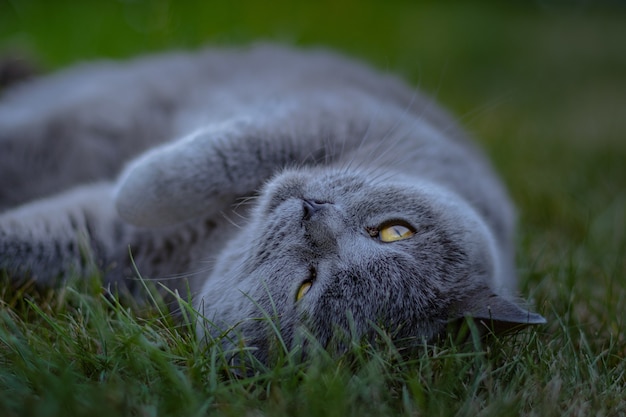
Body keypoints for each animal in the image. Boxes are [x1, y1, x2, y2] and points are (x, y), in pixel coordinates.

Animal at [0, 43, 540, 360]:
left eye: (306, 286)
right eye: (395, 230)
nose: (314, 213)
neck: (224, 234)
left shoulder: (117, 247)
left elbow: (51, 232)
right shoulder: (324, 114)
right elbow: (226, 152)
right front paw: (134, 186)